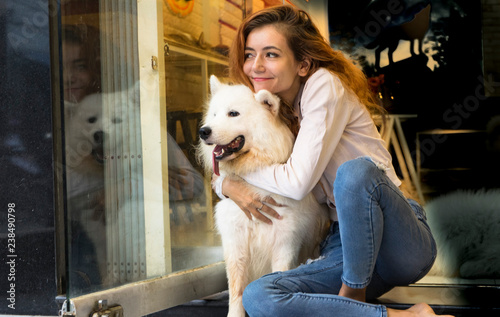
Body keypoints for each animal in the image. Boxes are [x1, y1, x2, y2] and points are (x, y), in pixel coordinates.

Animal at [197, 74, 330, 316]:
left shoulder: (285, 244)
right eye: (214, 114)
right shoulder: (236, 244)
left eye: (233, 113)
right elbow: (237, 289)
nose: (204, 131)